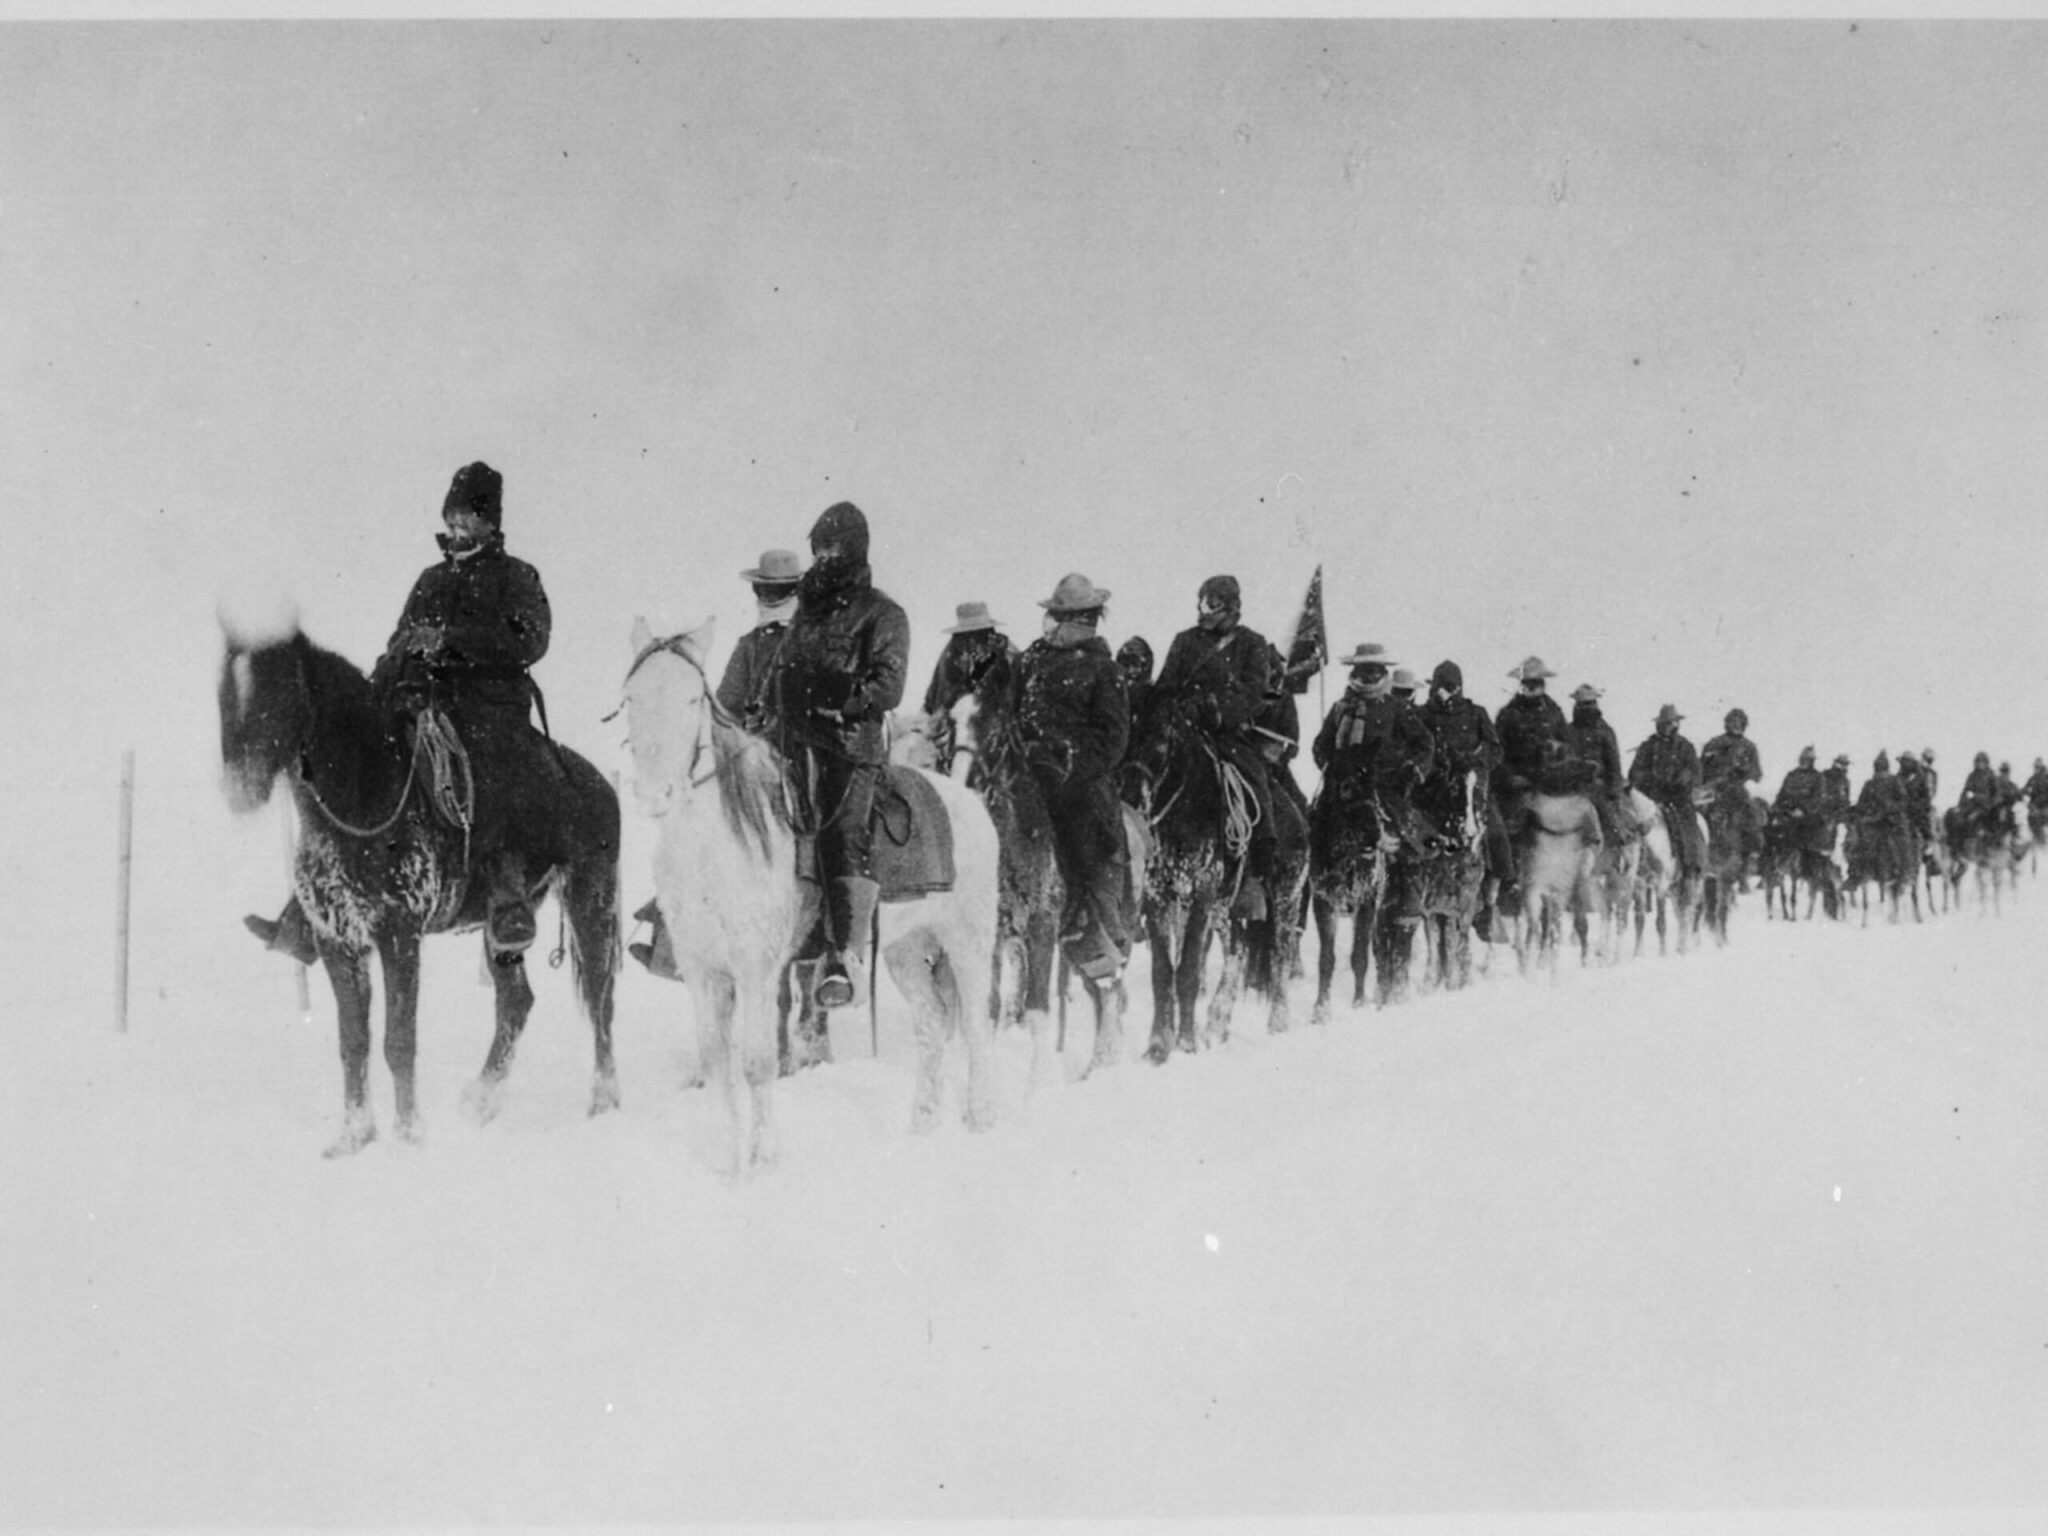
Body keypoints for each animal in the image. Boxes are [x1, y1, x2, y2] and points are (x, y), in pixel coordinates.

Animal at [222, 614, 622, 1155]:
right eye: (225, 693)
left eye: (280, 691)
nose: (239, 788)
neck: (364, 799)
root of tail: (599, 784)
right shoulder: (337, 941)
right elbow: (354, 1043)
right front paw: (353, 1138)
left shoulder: (399, 935)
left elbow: (398, 1040)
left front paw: (409, 1134)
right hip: (501, 931)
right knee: (516, 1002)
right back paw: (479, 1103)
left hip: (590, 902)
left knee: (601, 1001)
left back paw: (602, 1103)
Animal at [622, 618, 1007, 1171]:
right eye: (632, 697)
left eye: (693, 698)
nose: (658, 795)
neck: (715, 846)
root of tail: (968, 800)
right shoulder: (702, 971)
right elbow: (717, 1064)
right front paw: (729, 1160)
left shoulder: (756, 967)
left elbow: (757, 1062)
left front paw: (763, 1158)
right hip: (906, 948)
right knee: (932, 1025)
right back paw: (922, 1124)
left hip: (968, 940)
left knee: (976, 1022)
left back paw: (980, 1119)